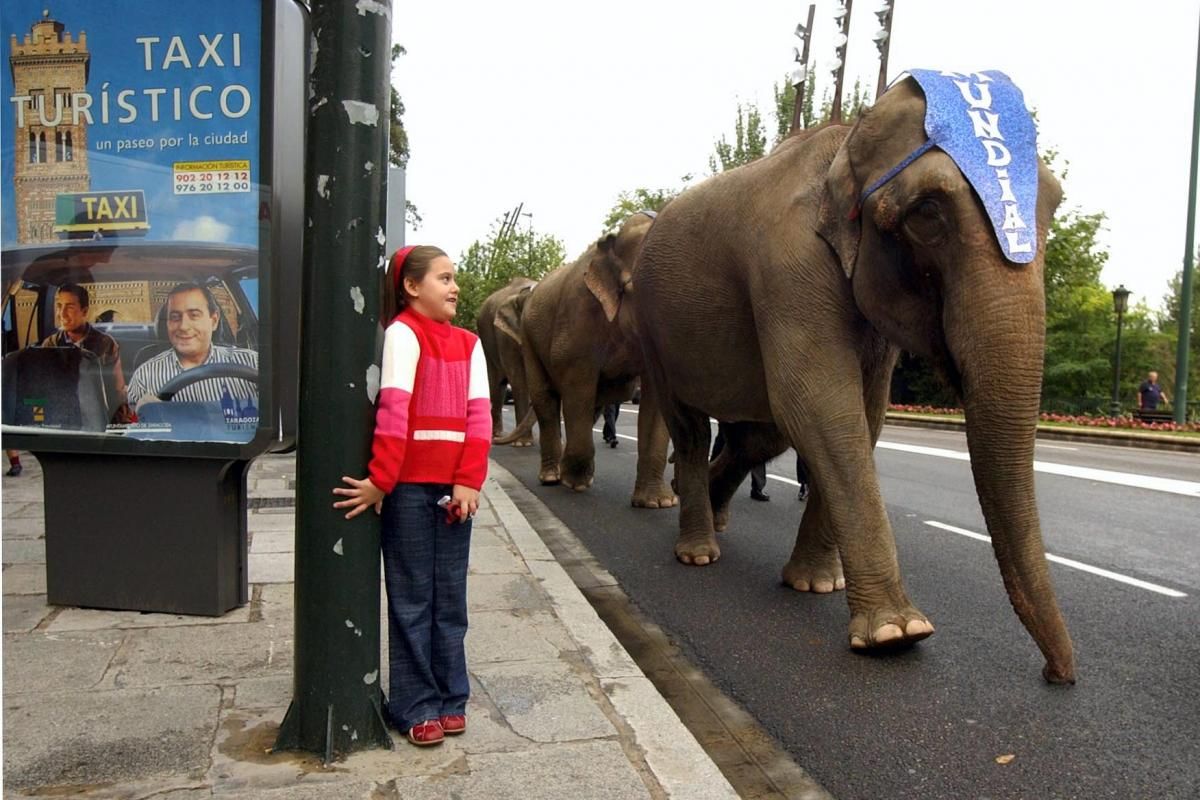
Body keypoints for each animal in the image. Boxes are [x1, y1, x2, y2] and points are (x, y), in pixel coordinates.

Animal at [475, 277, 537, 448]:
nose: (495, 443)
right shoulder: (504, 336)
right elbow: (519, 379)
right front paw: (523, 443)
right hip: (486, 338)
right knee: (496, 383)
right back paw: (496, 435)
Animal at [501, 209, 681, 503]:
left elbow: (656, 400)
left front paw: (658, 502)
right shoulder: (576, 316)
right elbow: (577, 385)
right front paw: (575, 485)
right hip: (528, 338)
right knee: (547, 400)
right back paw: (552, 477)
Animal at [638, 73, 1080, 681]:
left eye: (1055, 203)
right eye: (927, 213)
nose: (1058, 675)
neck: (849, 140)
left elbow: (862, 413)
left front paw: (815, 585)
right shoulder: (787, 267)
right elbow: (819, 403)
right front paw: (897, 634)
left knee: (757, 434)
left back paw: (711, 510)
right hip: (653, 327)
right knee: (689, 426)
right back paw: (699, 551)